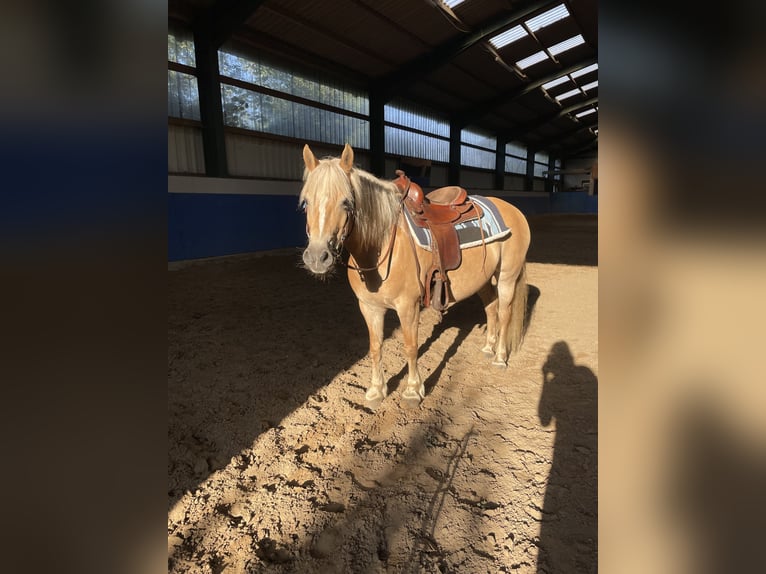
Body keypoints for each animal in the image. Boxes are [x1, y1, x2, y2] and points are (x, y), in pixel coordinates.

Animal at [302, 142, 536, 410]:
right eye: (306, 202)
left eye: (346, 203)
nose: (317, 257)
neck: (382, 244)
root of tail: (513, 210)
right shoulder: (369, 307)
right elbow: (375, 347)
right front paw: (376, 390)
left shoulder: (408, 306)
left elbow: (411, 347)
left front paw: (413, 390)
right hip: (483, 279)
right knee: (491, 307)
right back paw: (488, 347)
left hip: (507, 276)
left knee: (505, 312)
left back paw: (499, 357)